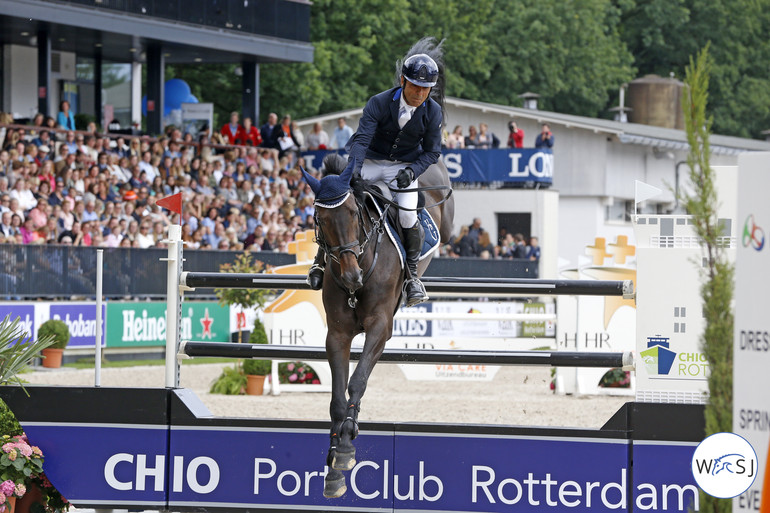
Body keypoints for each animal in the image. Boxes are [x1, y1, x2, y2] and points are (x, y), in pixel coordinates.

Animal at [302, 156, 456, 496]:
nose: (351, 277)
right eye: (320, 219)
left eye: (352, 212)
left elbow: (357, 382)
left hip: (442, 211)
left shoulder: (380, 327)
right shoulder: (338, 335)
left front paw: (346, 447)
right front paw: (334, 465)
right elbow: (337, 397)